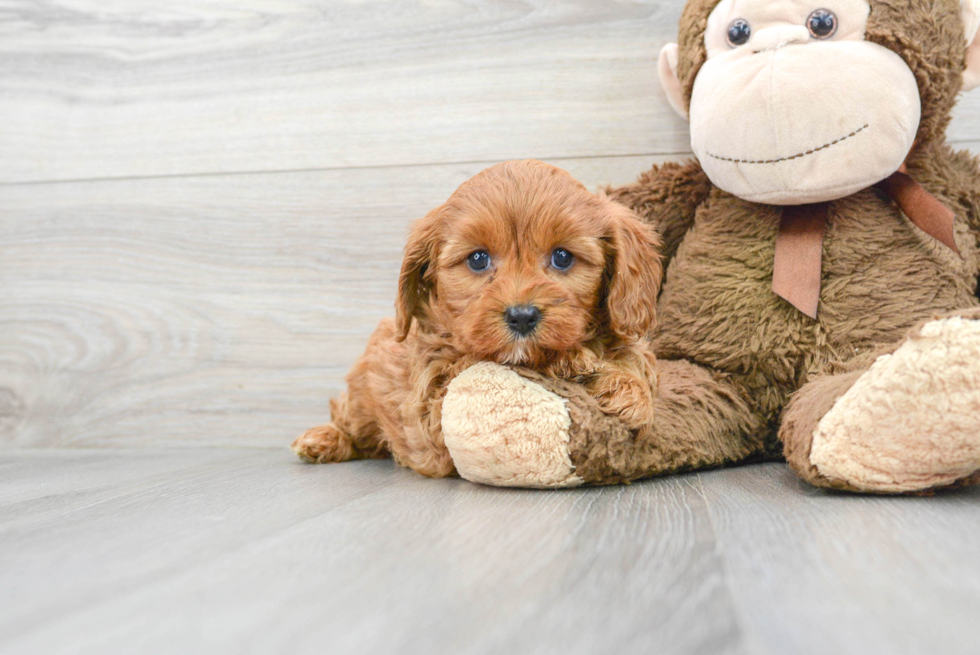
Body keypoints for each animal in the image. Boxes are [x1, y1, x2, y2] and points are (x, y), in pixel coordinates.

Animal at [290, 159, 660, 476]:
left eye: (563, 257)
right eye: (478, 259)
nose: (522, 316)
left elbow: (632, 360)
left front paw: (628, 392)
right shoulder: (432, 405)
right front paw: (573, 361)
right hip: (362, 399)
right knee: (348, 420)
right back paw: (322, 439)